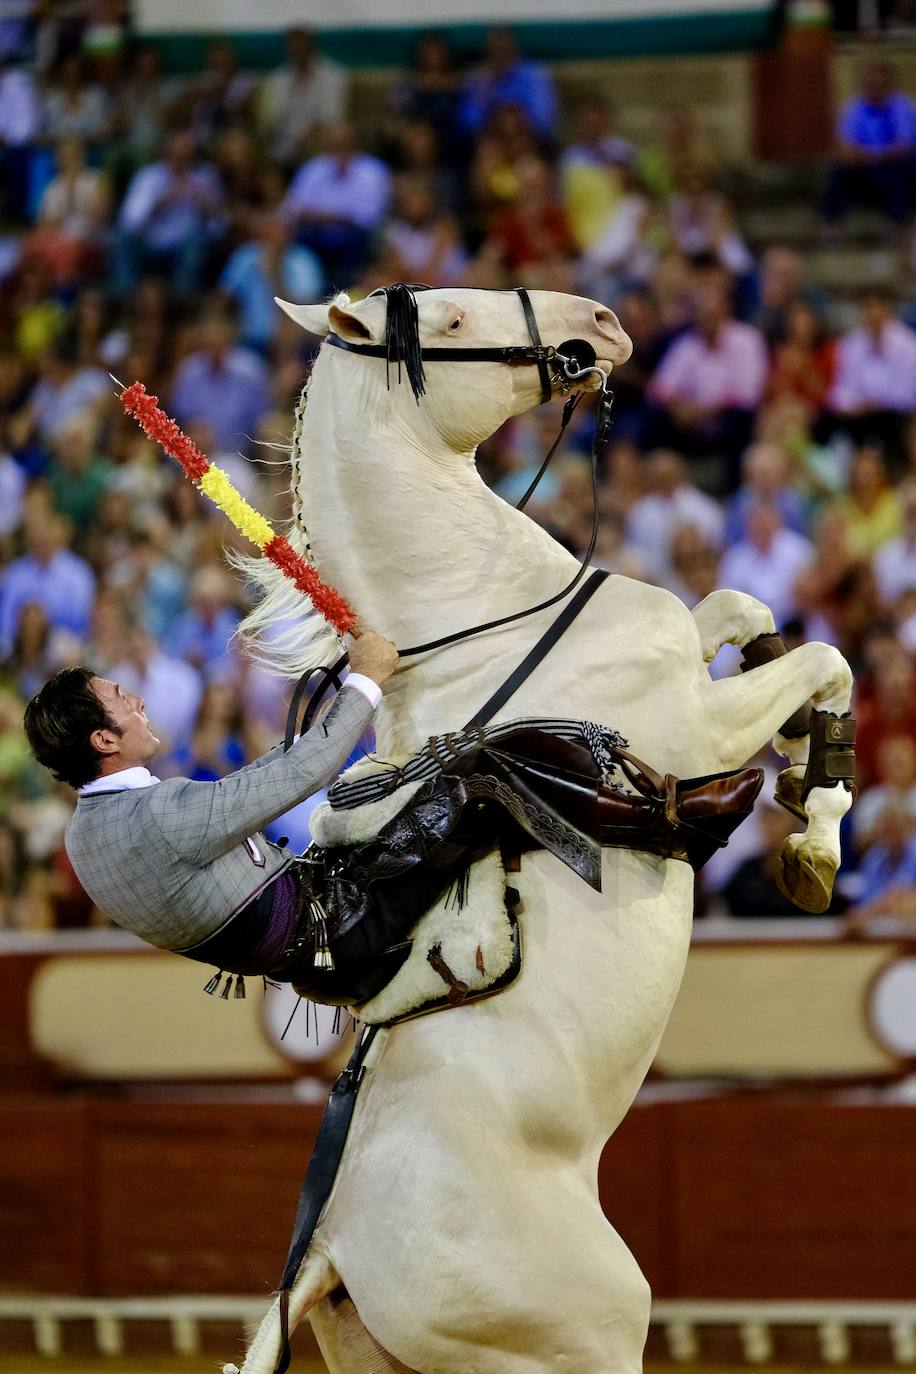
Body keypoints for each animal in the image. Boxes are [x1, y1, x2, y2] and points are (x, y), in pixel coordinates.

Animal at [233, 284, 851, 1368]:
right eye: (442, 319)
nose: (601, 322)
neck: (490, 618)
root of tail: (331, 1252)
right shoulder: (698, 728)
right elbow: (825, 662)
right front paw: (814, 836)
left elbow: (740, 608)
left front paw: (805, 774)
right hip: (588, 1339)